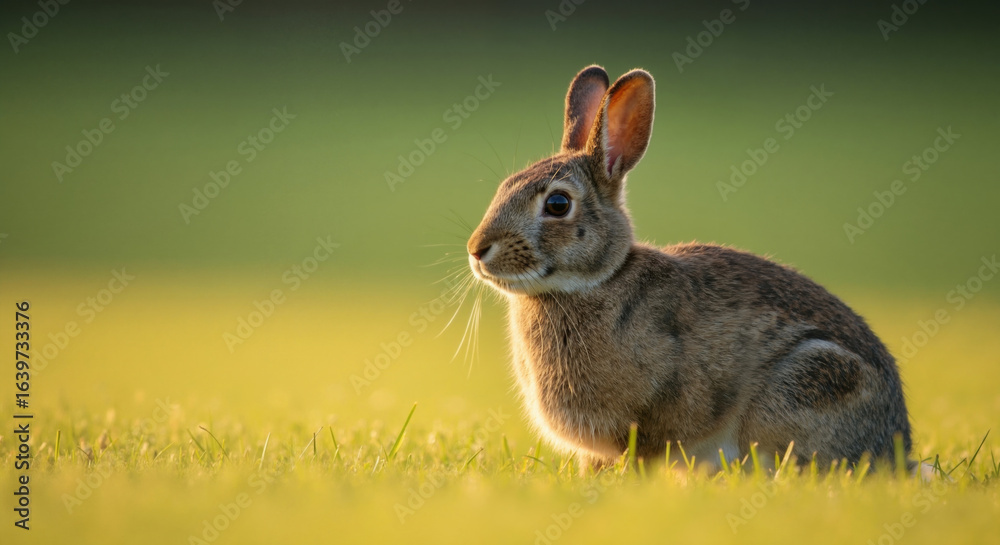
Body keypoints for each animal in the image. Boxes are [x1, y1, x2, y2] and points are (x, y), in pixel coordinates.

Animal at [466, 65, 912, 471]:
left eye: (557, 204)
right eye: (504, 187)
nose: (477, 249)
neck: (595, 281)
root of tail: (896, 442)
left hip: (811, 380)